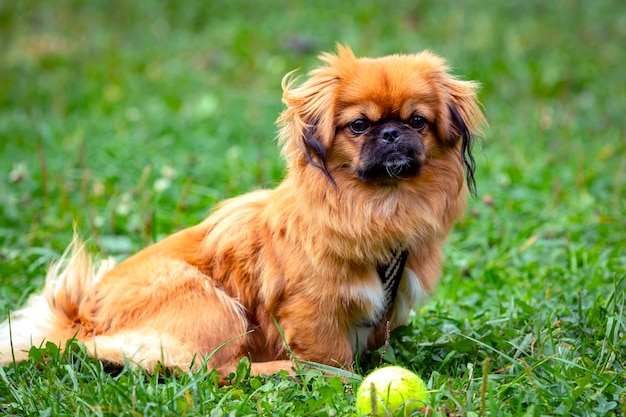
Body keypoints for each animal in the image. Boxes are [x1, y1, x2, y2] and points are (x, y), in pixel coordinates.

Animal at [0, 44, 482, 380]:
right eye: (359, 126)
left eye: (417, 121)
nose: (391, 133)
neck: (379, 206)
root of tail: (82, 319)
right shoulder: (311, 309)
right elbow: (332, 356)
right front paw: (337, 378)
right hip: (209, 301)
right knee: (214, 370)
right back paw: (282, 371)